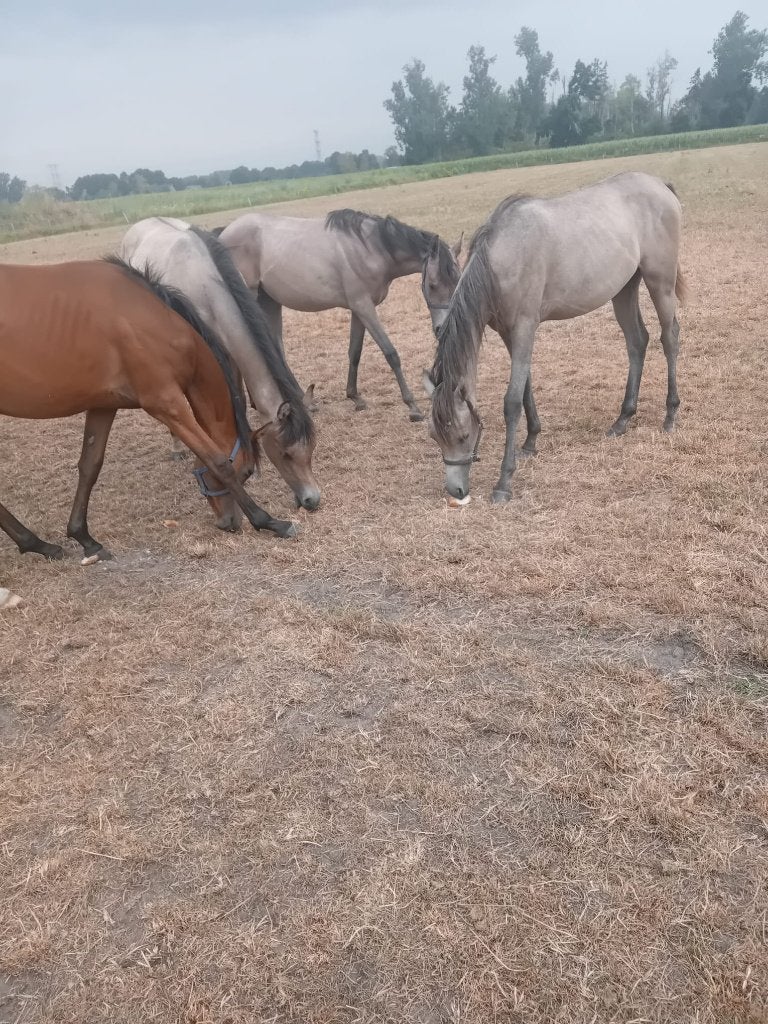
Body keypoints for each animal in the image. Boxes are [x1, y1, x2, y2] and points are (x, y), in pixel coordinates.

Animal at [0, 257, 298, 564]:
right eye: (248, 471)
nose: (228, 523)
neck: (149, 320)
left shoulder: (104, 406)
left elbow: (89, 467)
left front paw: (85, 538)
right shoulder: (166, 403)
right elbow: (217, 461)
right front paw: (270, 522)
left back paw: (38, 544)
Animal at [120, 217, 320, 511]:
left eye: (311, 447)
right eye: (285, 453)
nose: (312, 500)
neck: (205, 287)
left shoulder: (230, 355)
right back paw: (176, 447)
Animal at [215, 209, 463, 422]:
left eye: (457, 280)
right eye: (432, 285)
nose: (442, 328)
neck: (371, 248)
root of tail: (223, 235)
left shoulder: (358, 309)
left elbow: (355, 352)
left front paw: (355, 397)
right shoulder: (363, 306)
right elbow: (390, 353)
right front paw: (412, 406)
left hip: (270, 300)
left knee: (275, 347)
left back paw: (300, 401)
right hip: (249, 296)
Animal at [424, 171, 686, 504]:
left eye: (463, 435)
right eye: (434, 436)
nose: (456, 491)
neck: (501, 260)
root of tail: (659, 184)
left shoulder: (525, 328)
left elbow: (511, 401)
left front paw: (504, 480)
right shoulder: (509, 333)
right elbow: (525, 388)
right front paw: (530, 442)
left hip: (659, 282)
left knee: (670, 338)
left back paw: (670, 414)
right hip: (624, 288)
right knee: (637, 341)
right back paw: (623, 419)